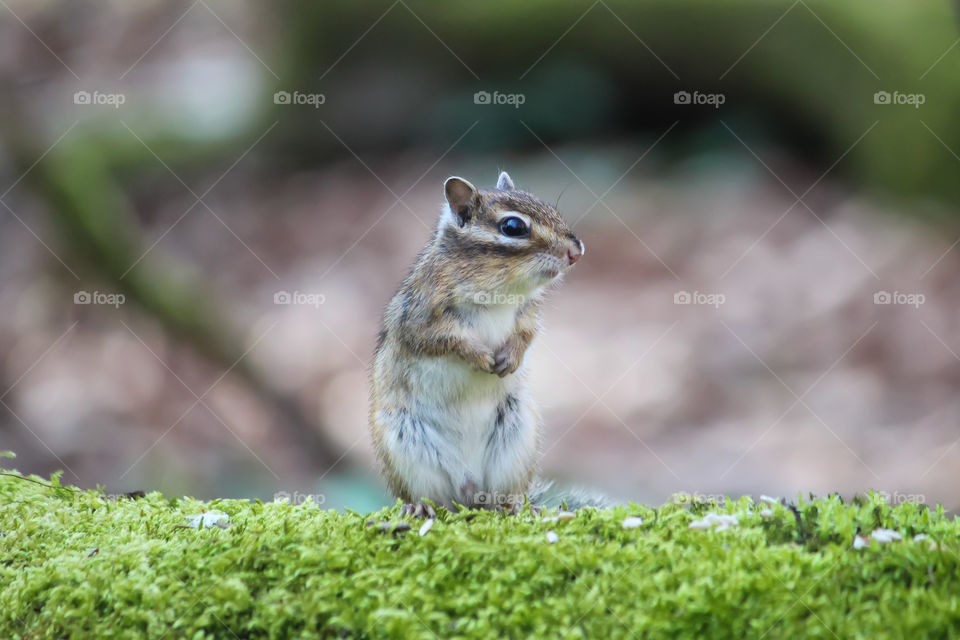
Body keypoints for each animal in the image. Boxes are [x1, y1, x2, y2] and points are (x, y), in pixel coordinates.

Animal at [369, 171, 588, 517]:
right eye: (513, 227)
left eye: (549, 207)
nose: (577, 251)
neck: (500, 291)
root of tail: (469, 490)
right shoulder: (420, 319)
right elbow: (444, 340)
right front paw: (480, 357)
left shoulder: (527, 312)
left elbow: (526, 334)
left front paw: (511, 357)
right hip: (404, 446)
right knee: (429, 497)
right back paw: (419, 509)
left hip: (518, 436)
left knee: (500, 497)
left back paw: (515, 505)